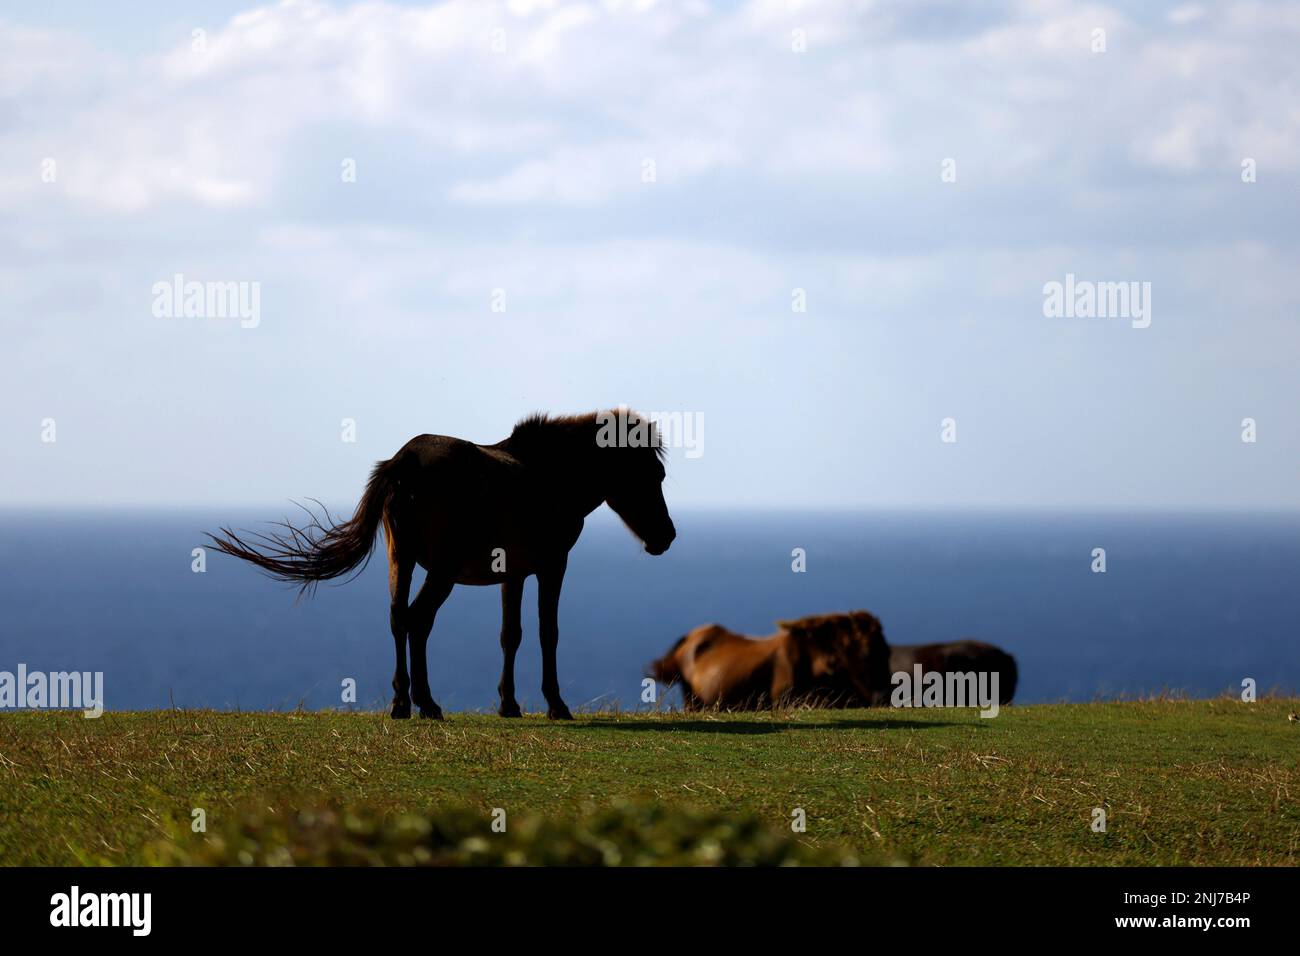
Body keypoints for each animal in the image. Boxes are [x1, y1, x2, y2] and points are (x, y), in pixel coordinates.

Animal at [208, 409, 676, 720]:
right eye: (653, 476)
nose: (666, 537)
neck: (549, 474)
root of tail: (404, 461)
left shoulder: (513, 573)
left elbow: (510, 635)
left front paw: (509, 703)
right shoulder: (552, 565)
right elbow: (548, 633)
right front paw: (555, 704)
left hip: (402, 559)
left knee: (400, 618)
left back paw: (404, 702)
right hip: (442, 570)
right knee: (418, 620)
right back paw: (424, 703)